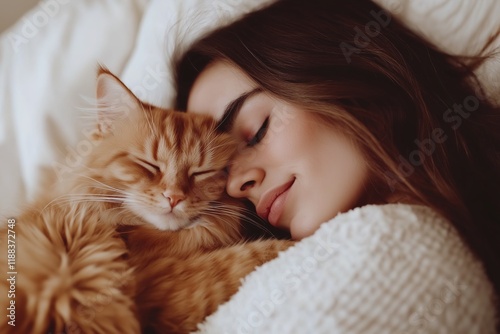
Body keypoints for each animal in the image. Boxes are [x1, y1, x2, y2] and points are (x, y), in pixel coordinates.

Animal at [0, 68, 292, 334]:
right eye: (148, 165)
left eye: (200, 172)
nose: (174, 197)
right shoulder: (164, 285)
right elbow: (251, 255)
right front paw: (293, 243)